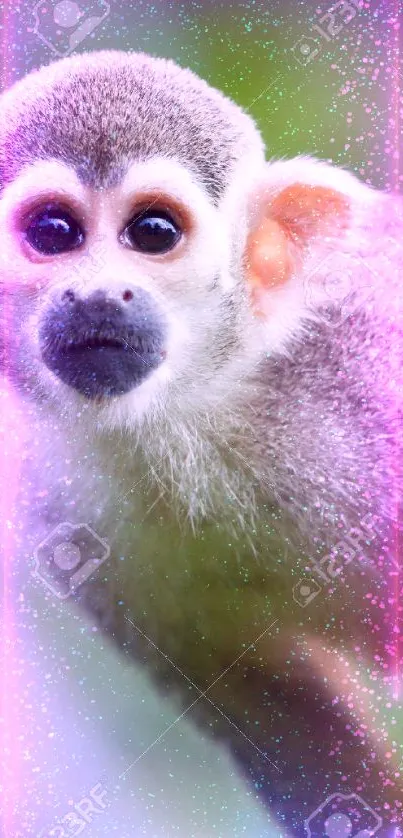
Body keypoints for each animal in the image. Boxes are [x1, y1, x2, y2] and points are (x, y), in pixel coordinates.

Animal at [0, 50, 402, 832]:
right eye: (54, 232)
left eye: (153, 232)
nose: (96, 296)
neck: (201, 413)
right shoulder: (54, 497)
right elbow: (278, 709)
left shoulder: (364, 355)